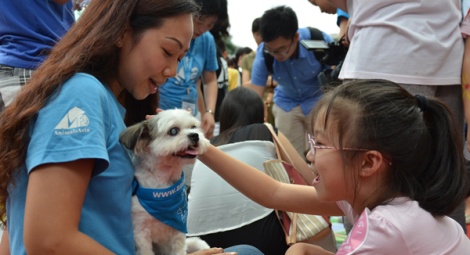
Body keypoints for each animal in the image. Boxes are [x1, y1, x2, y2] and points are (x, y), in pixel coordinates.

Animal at [120, 109, 210, 255]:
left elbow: (179, 250)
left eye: (193, 127)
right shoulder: (140, 231)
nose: (195, 135)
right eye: (173, 131)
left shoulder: (178, 230)